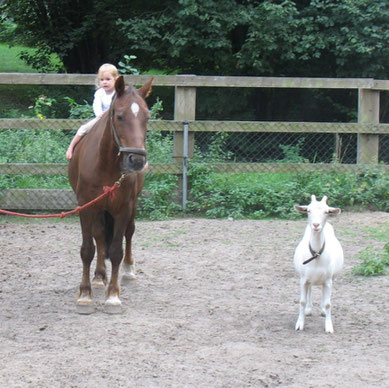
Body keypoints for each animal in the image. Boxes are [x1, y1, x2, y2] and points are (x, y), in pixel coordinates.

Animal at [67, 76, 152, 316]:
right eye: (119, 116)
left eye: (147, 117)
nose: (136, 160)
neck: (105, 163)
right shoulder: (86, 206)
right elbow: (88, 249)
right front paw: (85, 296)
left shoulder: (123, 208)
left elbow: (116, 251)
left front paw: (113, 296)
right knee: (99, 235)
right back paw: (98, 276)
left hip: (131, 206)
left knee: (129, 233)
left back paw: (128, 271)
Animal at [294, 196, 342, 332]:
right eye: (308, 210)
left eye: (327, 212)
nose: (316, 225)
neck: (315, 254)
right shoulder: (303, 279)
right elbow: (302, 301)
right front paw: (299, 324)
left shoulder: (328, 280)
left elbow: (328, 303)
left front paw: (329, 326)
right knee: (310, 289)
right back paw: (308, 310)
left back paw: (322, 311)